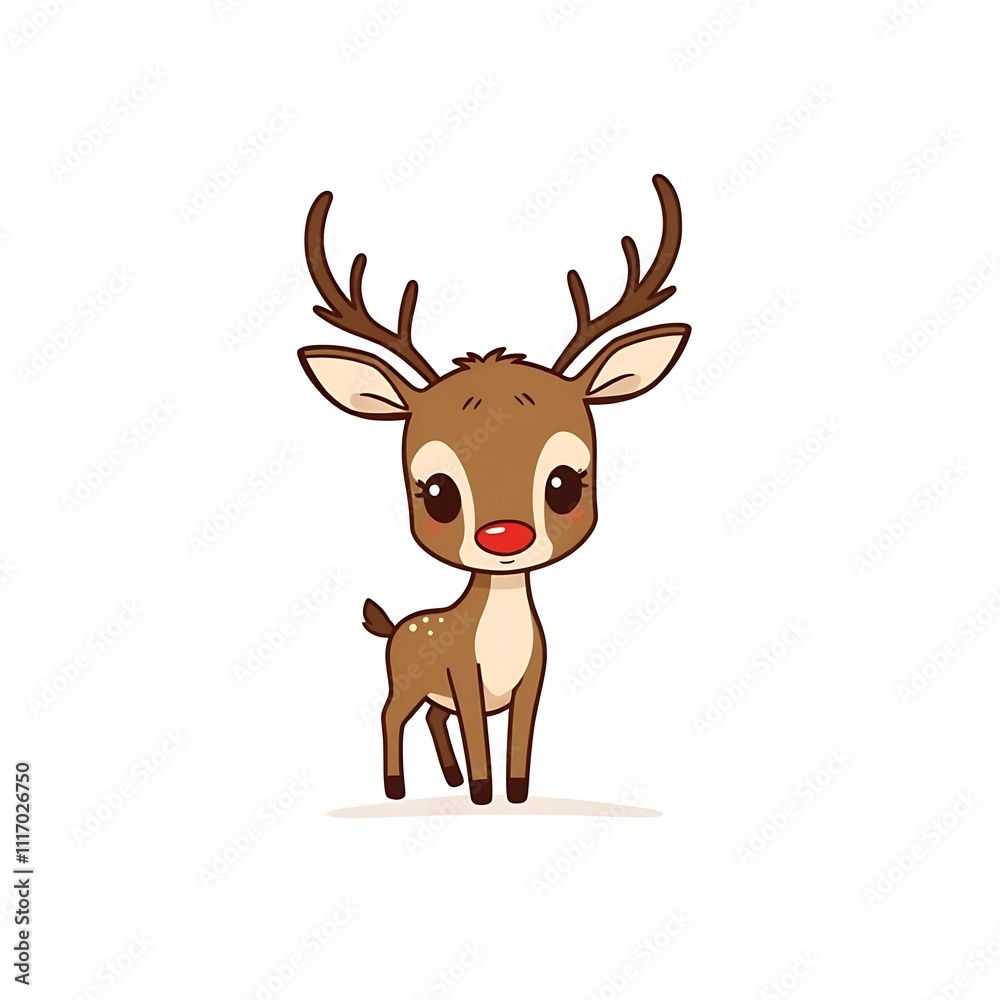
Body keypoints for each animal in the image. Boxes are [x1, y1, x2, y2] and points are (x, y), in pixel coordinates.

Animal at [297, 175, 690, 806]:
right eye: (436, 493)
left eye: (564, 483)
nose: (505, 537)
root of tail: (394, 624)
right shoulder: (463, 677)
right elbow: (480, 734)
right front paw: (483, 793)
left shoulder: (532, 681)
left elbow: (520, 738)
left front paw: (515, 793)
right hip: (407, 682)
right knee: (390, 715)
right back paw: (399, 786)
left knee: (433, 718)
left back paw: (448, 778)